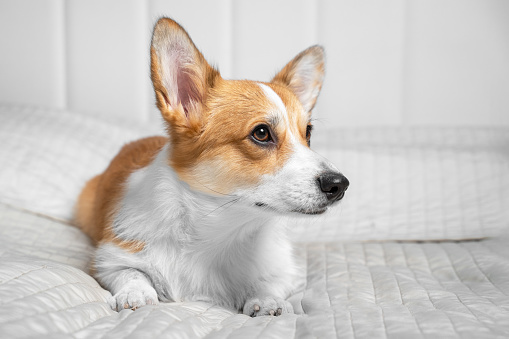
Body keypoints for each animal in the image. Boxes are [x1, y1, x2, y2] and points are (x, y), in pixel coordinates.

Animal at [74, 17, 346, 318]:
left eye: (307, 133)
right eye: (262, 133)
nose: (340, 185)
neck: (222, 233)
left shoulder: (282, 271)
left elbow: (268, 283)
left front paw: (268, 301)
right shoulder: (109, 258)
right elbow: (132, 273)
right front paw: (136, 294)